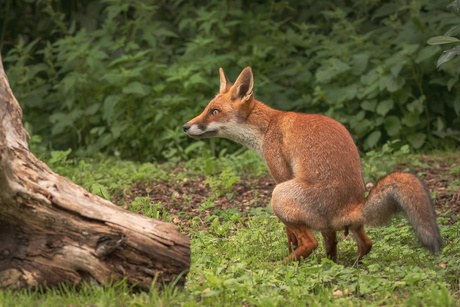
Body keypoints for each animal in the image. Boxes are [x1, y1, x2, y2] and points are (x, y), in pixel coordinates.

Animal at [182, 67, 442, 262]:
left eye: (214, 111)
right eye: (206, 109)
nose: (185, 126)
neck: (268, 127)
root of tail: (348, 205)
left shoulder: (281, 173)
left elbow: (290, 234)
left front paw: (290, 245)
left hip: (279, 195)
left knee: (311, 242)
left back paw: (283, 264)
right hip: (349, 222)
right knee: (362, 243)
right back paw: (345, 264)